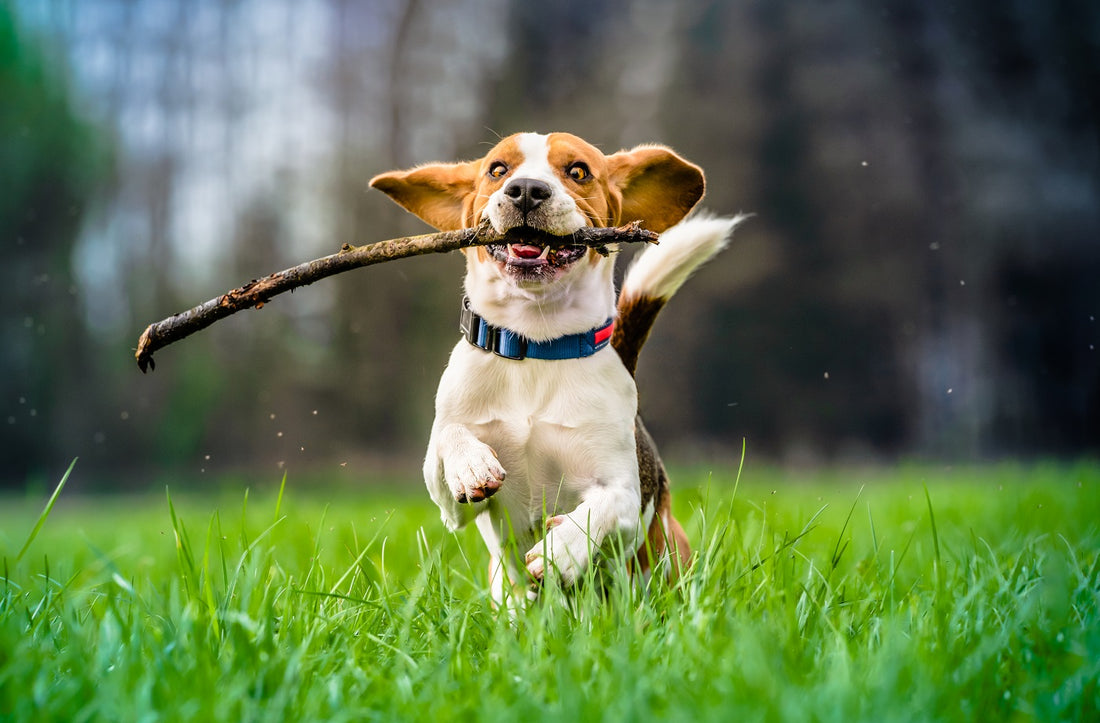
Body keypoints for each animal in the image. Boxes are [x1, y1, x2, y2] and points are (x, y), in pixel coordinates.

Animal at [374, 130, 743, 603]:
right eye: (497, 169)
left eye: (579, 171)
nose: (527, 190)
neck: (534, 347)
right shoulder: (450, 507)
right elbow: (448, 441)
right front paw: (471, 464)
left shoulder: (624, 493)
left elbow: (605, 506)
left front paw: (561, 552)